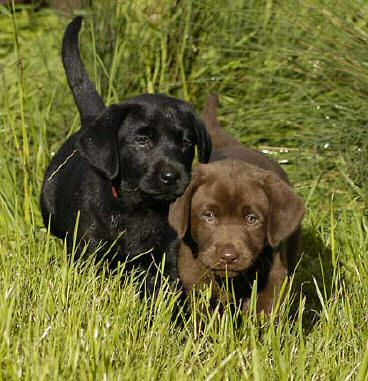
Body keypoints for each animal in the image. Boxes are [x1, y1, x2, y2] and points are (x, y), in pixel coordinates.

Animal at [40, 15, 211, 290]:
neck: (139, 207)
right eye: (142, 140)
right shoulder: (90, 250)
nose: (172, 176)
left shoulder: (169, 256)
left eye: (186, 142)